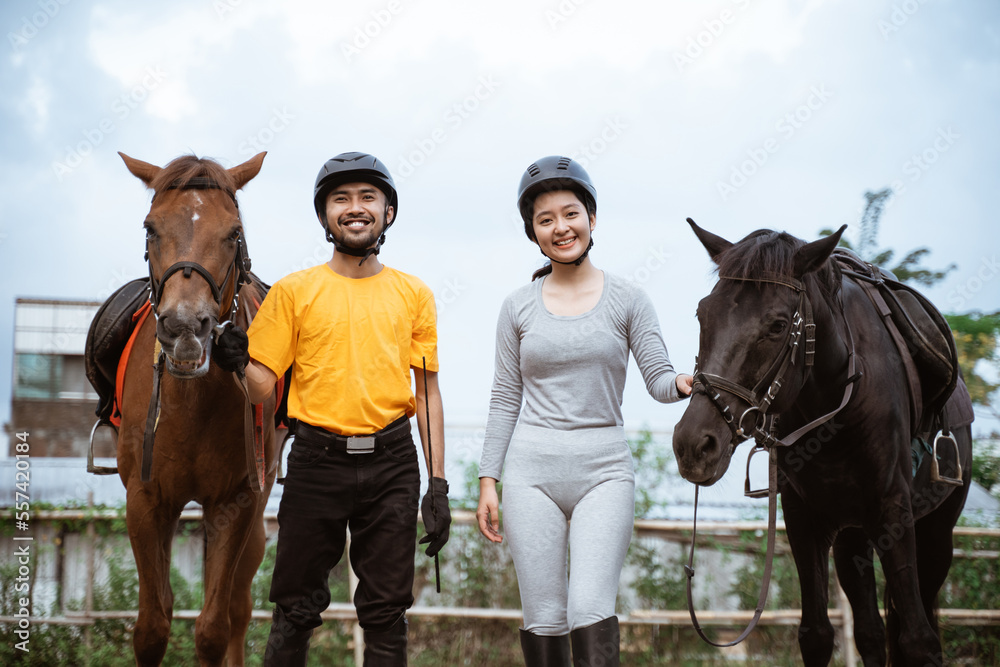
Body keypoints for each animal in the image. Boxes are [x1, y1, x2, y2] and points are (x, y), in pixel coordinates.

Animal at [117, 153, 278, 667]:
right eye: (150, 228)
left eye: (233, 232)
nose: (185, 328)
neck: (190, 405)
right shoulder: (145, 500)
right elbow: (152, 627)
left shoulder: (235, 502)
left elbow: (212, 629)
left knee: (237, 609)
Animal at [676, 222, 972, 664]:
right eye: (702, 313)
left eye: (778, 325)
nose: (694, 444)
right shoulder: (805, 520)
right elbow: (816, 634)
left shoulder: (895, 513)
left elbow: (920, 640)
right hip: (854, 537)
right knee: (869, 630)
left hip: (936, 532)